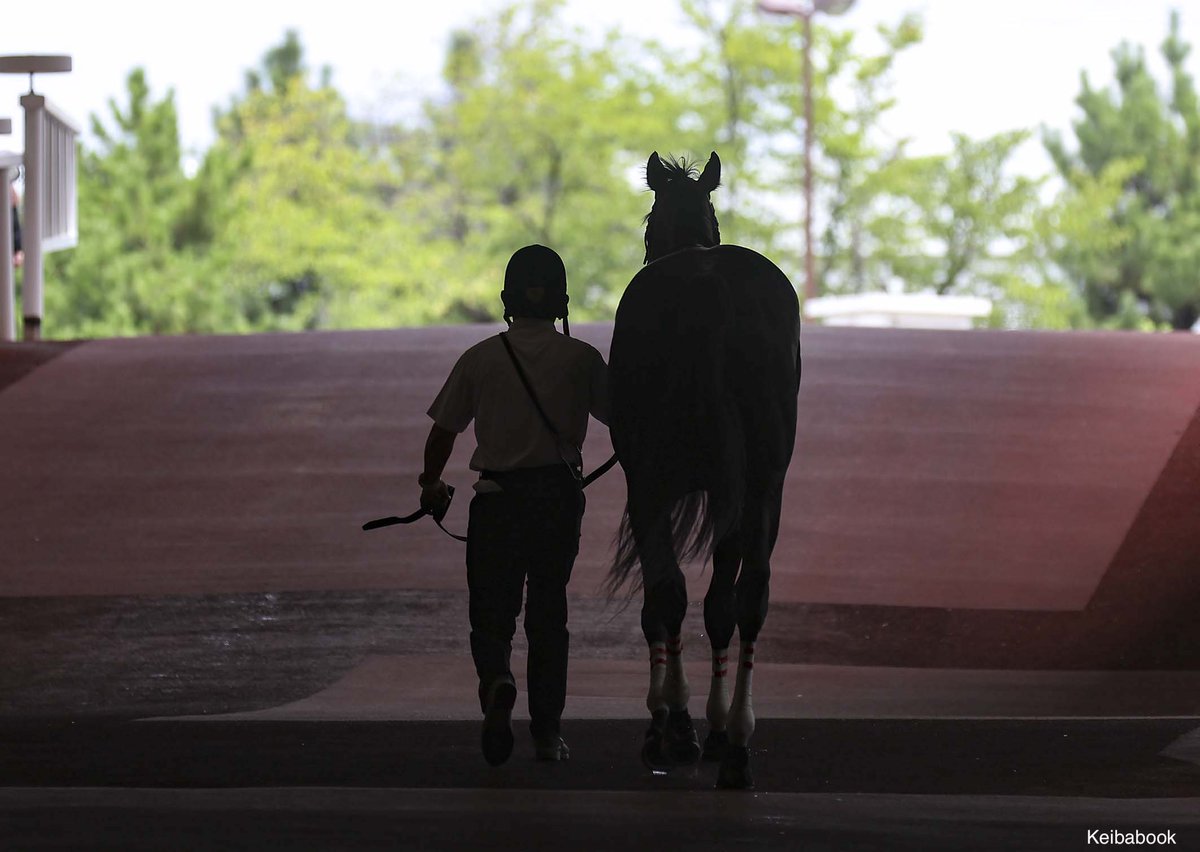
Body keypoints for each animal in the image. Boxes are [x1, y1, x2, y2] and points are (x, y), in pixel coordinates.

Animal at [607, 151, 801, 789]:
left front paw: (676, 721)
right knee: (748, 598)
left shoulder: (648, 488)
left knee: (672, 595)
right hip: (763, 483)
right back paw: (736, 742)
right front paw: (709, 727)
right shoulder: (731, 490)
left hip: (655, 482)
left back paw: (684, 731)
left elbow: (659, 602)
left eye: (648, 223)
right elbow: (719, 601)